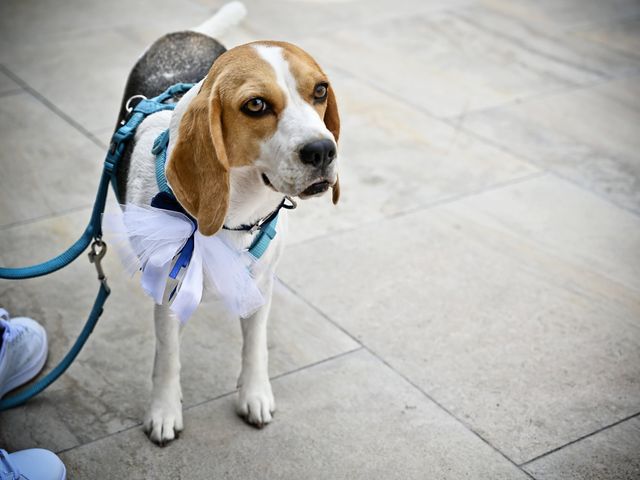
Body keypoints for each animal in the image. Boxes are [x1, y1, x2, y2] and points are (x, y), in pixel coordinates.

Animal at [113, 4, 340, 446]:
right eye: (256, 105)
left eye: (320, 91)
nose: (323, 150)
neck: (234, 216)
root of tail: (188, 33)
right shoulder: (168, 292)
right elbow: (167, 357)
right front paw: (163, 411)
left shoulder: (261, 283)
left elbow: (256, 347)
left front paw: (254, 395)